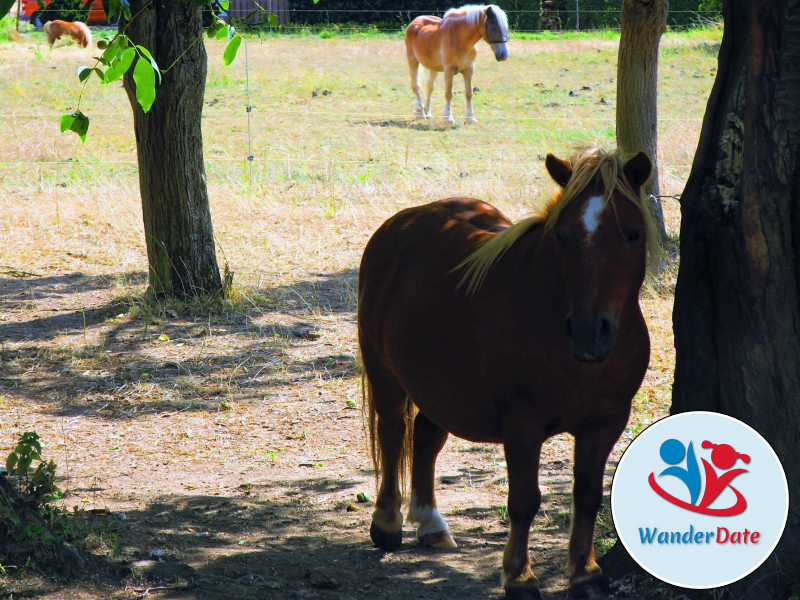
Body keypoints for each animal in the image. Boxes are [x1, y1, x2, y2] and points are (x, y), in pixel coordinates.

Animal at [360, 148, 660, 596]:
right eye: (562, 236)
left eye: (632, 233)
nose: (589, 331)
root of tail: (402, 224)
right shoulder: (523, 426)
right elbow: (524, 501)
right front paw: (519, 576)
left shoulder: (605, 422)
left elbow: (588, 495)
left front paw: (585, 572)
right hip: (386, 375)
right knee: (394, 433)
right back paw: (387, 522)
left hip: (439, 385)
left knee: (427, 438)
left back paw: (430, 523)